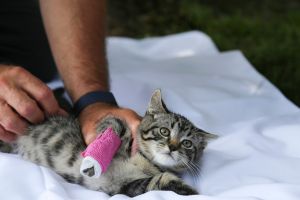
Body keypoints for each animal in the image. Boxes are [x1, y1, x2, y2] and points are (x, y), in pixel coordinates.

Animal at [0, 90, 217, 196]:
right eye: (164, 131)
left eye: (187, 144)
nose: (172, 147)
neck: (146, 163)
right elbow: (116, 123)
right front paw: (97, 150)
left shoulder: (121, 187)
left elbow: (160, 180)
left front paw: (192, 192)